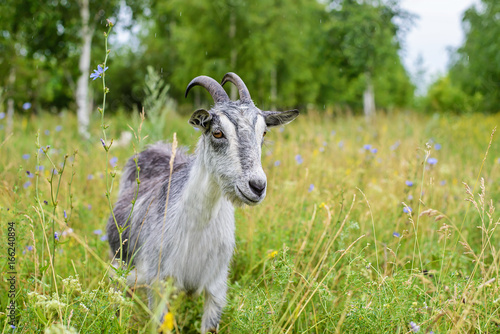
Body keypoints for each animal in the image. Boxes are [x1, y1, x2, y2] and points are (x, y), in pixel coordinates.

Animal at [107, 72, 298, 332]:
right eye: (217, 132)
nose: (257, 186)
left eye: (264, 133)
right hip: (120, 263)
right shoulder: (158, 284)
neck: (197, 229)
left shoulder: (216, 287)